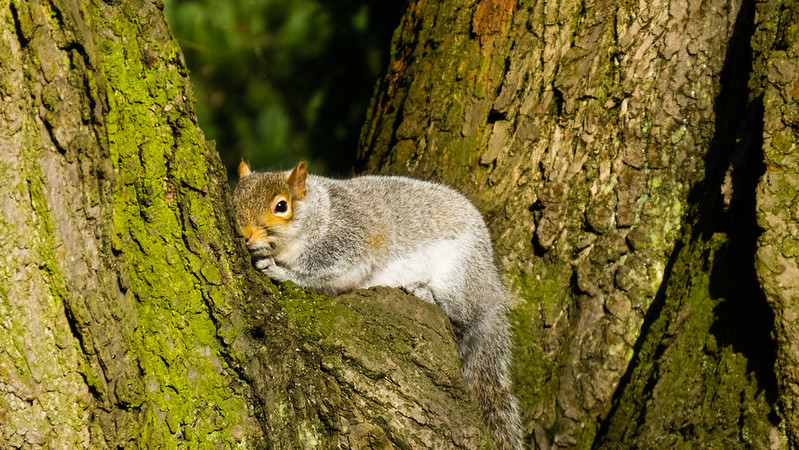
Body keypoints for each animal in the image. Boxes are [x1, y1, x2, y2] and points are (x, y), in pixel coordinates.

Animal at [233, 161, 523, 450]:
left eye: (281, 206)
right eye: (234, 200)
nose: (245, 234)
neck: (321, 212)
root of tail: (492, 294)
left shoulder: (347, 239)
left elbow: (319, 271)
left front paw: (278, 270)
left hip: (459, 277)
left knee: (462, 318)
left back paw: (426, 294)